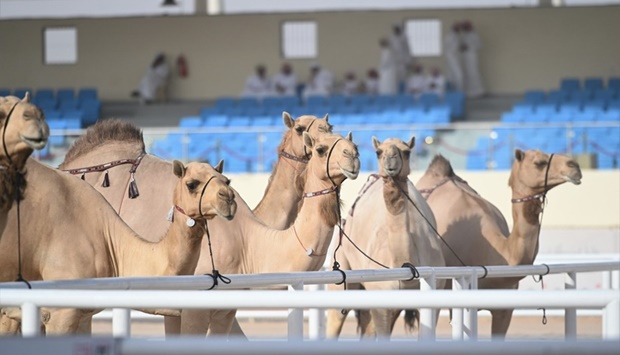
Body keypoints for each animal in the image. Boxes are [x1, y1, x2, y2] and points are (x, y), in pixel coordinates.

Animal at [324, 136, 446, 340]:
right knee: (335, 319)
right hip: (341, 267)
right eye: (378, 152)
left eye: (407, 151)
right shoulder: (381, 299)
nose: (390, 164)